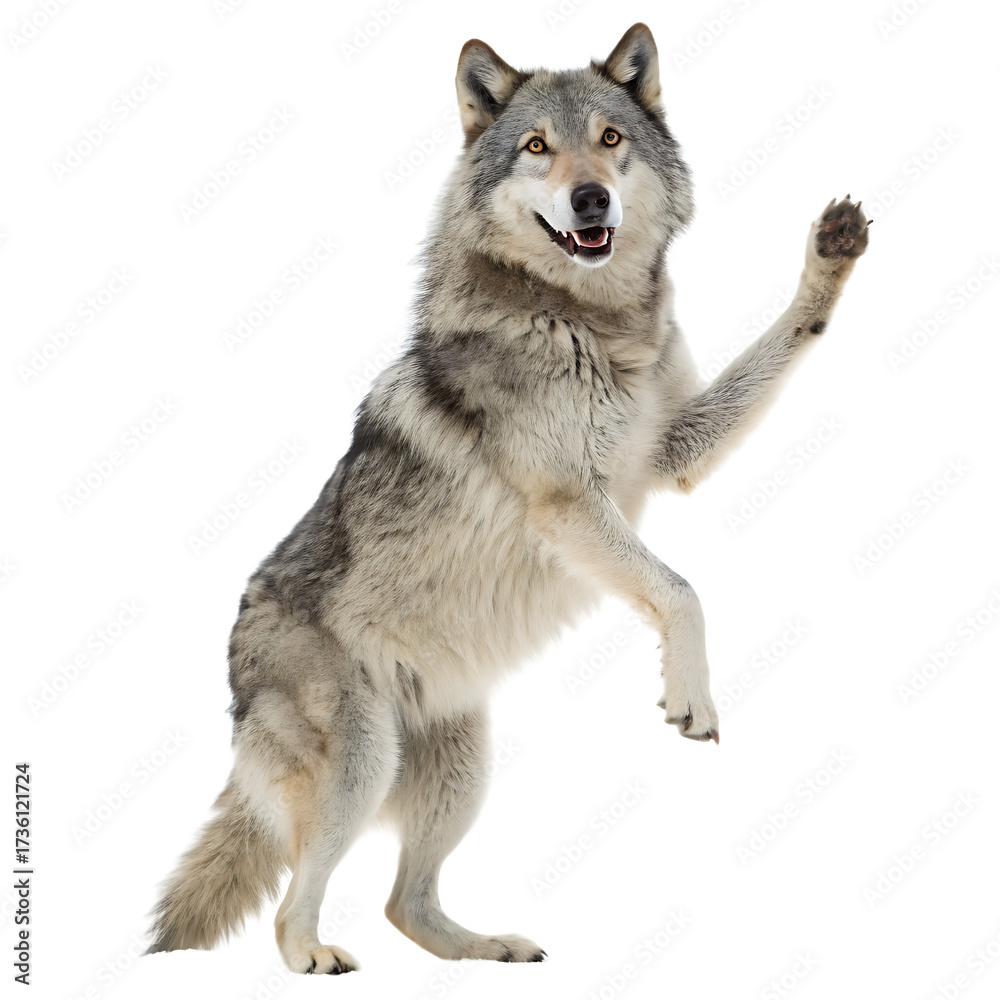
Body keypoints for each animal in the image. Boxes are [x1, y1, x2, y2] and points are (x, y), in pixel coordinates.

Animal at [147, 23, 869, 974]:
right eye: (536, 148)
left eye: (609, 138)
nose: (592, 198)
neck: (587, 321)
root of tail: (235, 644)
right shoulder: (568, 503)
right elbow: (681, 589)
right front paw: (691, 699)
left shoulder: (670, 453)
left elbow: (781, 345)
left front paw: (830, 259)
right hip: (362, 765)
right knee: (294, 900)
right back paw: (313, 957)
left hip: (463, 766)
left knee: (404, 903)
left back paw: (485, 948)